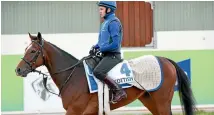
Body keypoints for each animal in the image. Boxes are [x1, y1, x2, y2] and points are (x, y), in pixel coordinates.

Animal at [15, 31, 197, 114]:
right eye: (25, 49)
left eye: (32, 51)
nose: (18, 69)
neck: (73, 76)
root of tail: (165, 60)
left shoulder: (75, 110)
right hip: (150, 101)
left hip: (161, 101)